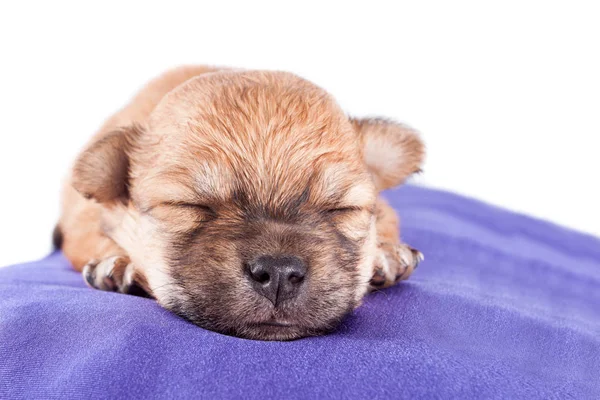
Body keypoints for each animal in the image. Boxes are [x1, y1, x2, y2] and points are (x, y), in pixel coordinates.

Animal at [55, 66, 422, 340]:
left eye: (341, 210)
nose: (279, 272)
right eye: (190, 205)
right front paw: (117, 263)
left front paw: (386, 253)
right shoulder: (85, 216)